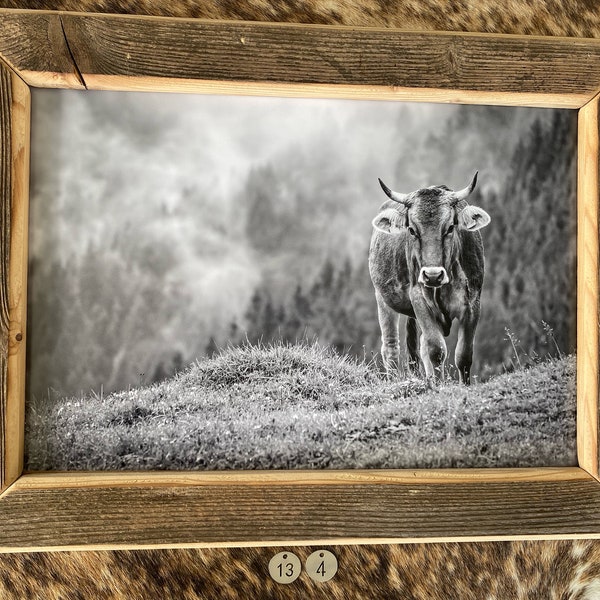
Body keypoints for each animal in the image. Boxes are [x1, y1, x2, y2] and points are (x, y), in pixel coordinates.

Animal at [368, 172, 490, 384]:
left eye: (450, 227)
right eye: (411, 230)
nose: (433, 275)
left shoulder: (473, 303)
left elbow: (464, 355)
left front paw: (462, 385)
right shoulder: (419, 299)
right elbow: (436, 350)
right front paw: (439, 386)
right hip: (382, 299)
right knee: (391, 347)